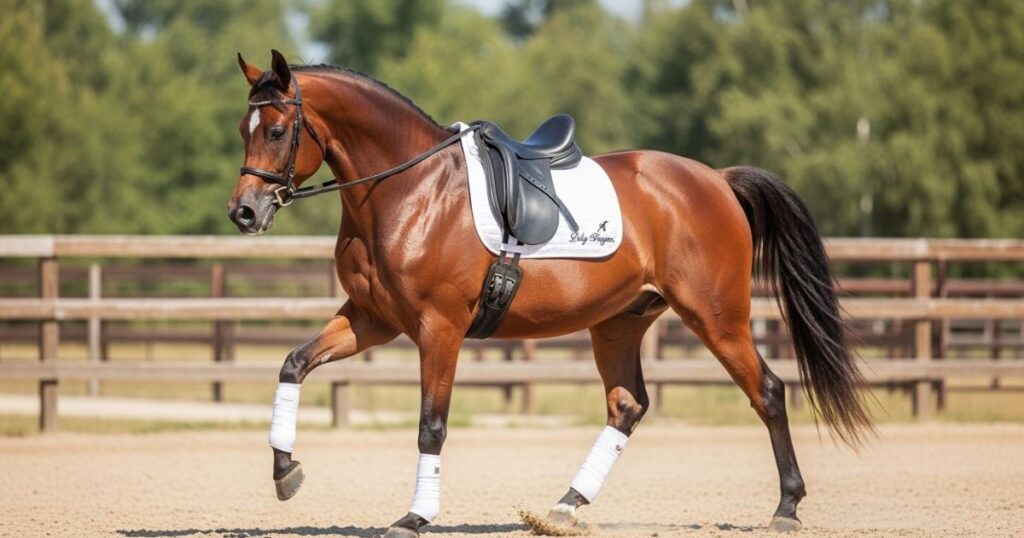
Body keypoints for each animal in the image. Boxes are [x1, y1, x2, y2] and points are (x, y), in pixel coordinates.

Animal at [228, 50, 871, 537]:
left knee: (768, 391)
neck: (408, 190)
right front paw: (285, 471)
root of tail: (716, 179)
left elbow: (431, 424)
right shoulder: (372, 319)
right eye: (243, 131)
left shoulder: (439, 328)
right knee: (628, 405)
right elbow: (293, 364)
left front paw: (414, 517)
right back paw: (565, 507)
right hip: (619, 322)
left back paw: (787, 507)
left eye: (278, 131)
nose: (244, 212)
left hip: (717, 317)